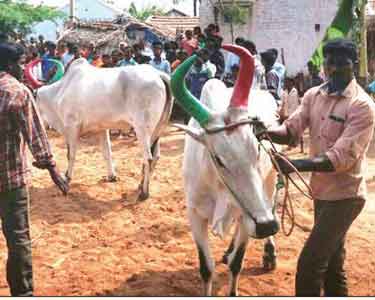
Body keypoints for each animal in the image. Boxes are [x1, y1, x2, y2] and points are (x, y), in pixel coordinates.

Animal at [36, 58, 174, 202]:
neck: (60, 91)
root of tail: (158, 74)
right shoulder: (102, 129)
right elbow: (107, 152)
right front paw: (111, 176)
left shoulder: (72, 126)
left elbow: (70, 155)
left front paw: (67, 177)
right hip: (158, 129)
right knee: (156, 156)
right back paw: (140, 186)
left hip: (142, 128)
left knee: (148, 158)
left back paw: (144, 193)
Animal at [172, 44, 280, 296]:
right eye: (219, 159)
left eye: (256, 149)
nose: (267, 225)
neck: (218, 187)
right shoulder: (195, 214)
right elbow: (206, 268)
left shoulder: (248, 215)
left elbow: (236, 264)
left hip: (270, 184)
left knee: (272, 205)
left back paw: (269, 252)